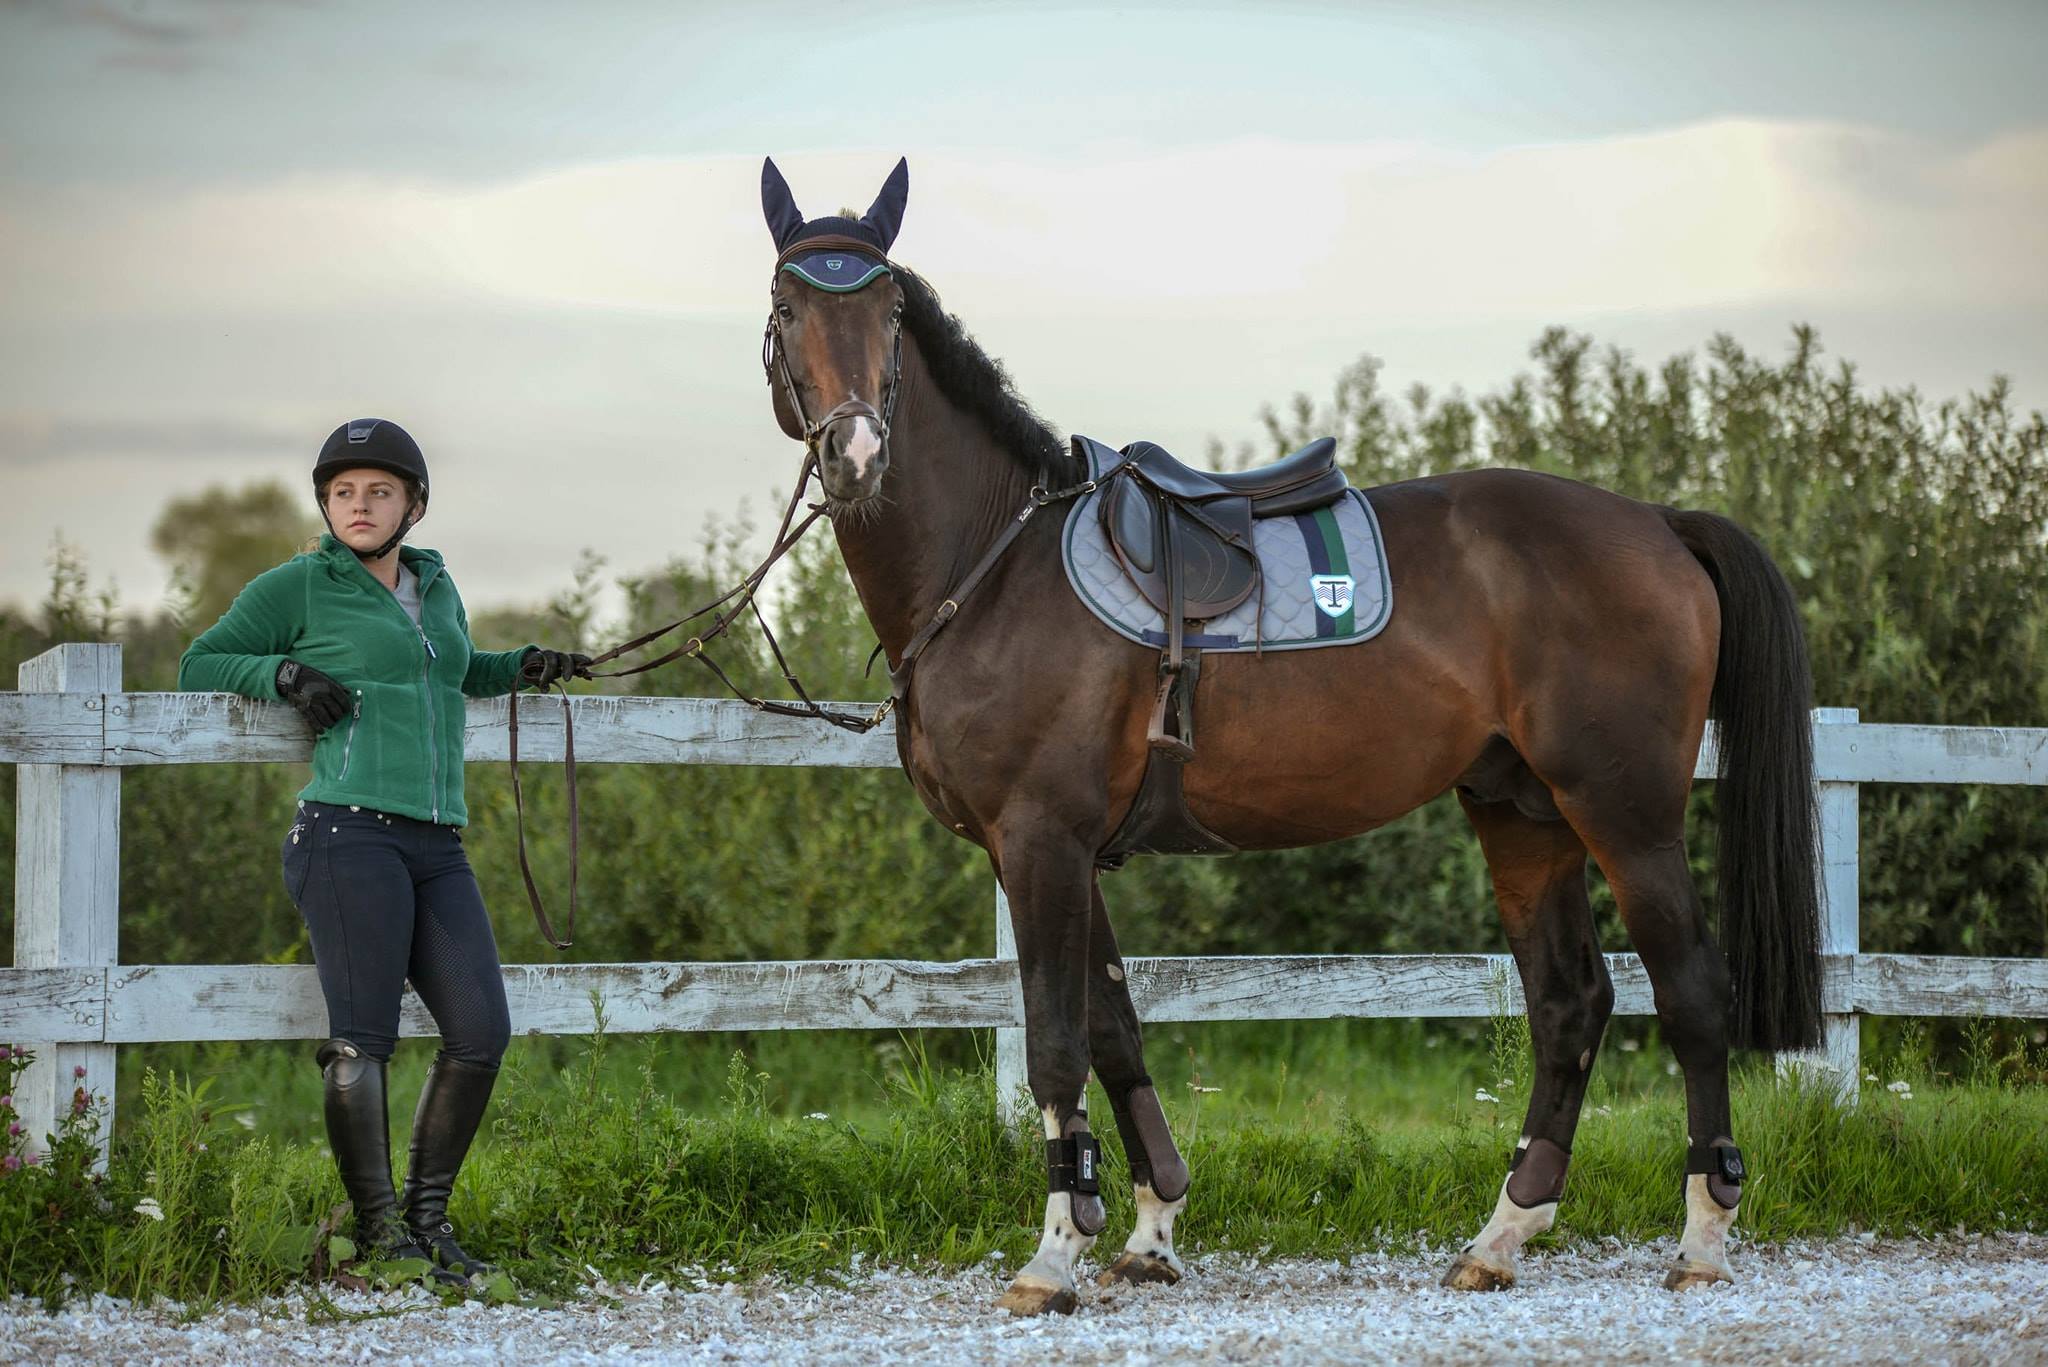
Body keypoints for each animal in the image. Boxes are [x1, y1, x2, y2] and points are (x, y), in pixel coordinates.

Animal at [753, 157, 1826, 1311]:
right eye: (786, 307)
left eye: (890, 311)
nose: (858, 451)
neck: (992, 565)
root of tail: (1658, 523)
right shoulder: (1058, 849)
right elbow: (1114, 1029)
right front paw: (1148, 1227)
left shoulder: (1039, 839)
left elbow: (1053, 1046)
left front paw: (1052, 1253)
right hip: (1522, 814)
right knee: (1570, 1002)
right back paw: (1501, 1234)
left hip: (1625, 813)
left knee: (1689, 995)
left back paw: (1701, 1235)